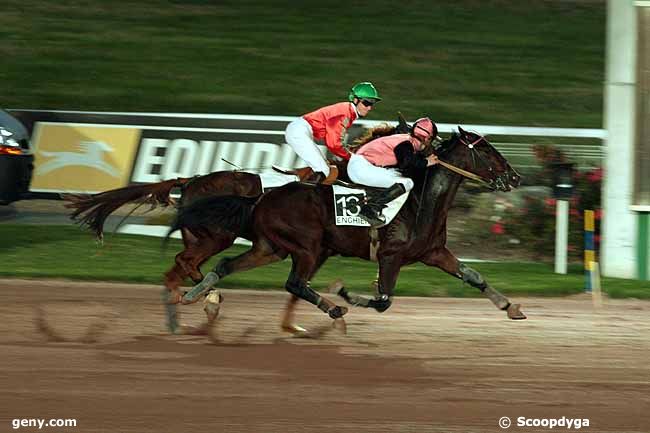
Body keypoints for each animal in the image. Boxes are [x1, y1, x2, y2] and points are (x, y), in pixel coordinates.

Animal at [168, 126, 528, 332]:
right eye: (486, 150)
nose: (515, 177)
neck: (421, 201)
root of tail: (261, 197)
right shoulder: (391, 255)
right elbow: (382, 300)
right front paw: (344, 292)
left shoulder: (434, 252)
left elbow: (474, 276)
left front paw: (511, 307)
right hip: (307, 247)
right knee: (295, 283)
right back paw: (334, 309)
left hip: (271, 247)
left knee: (225, 265)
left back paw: (198, 296)